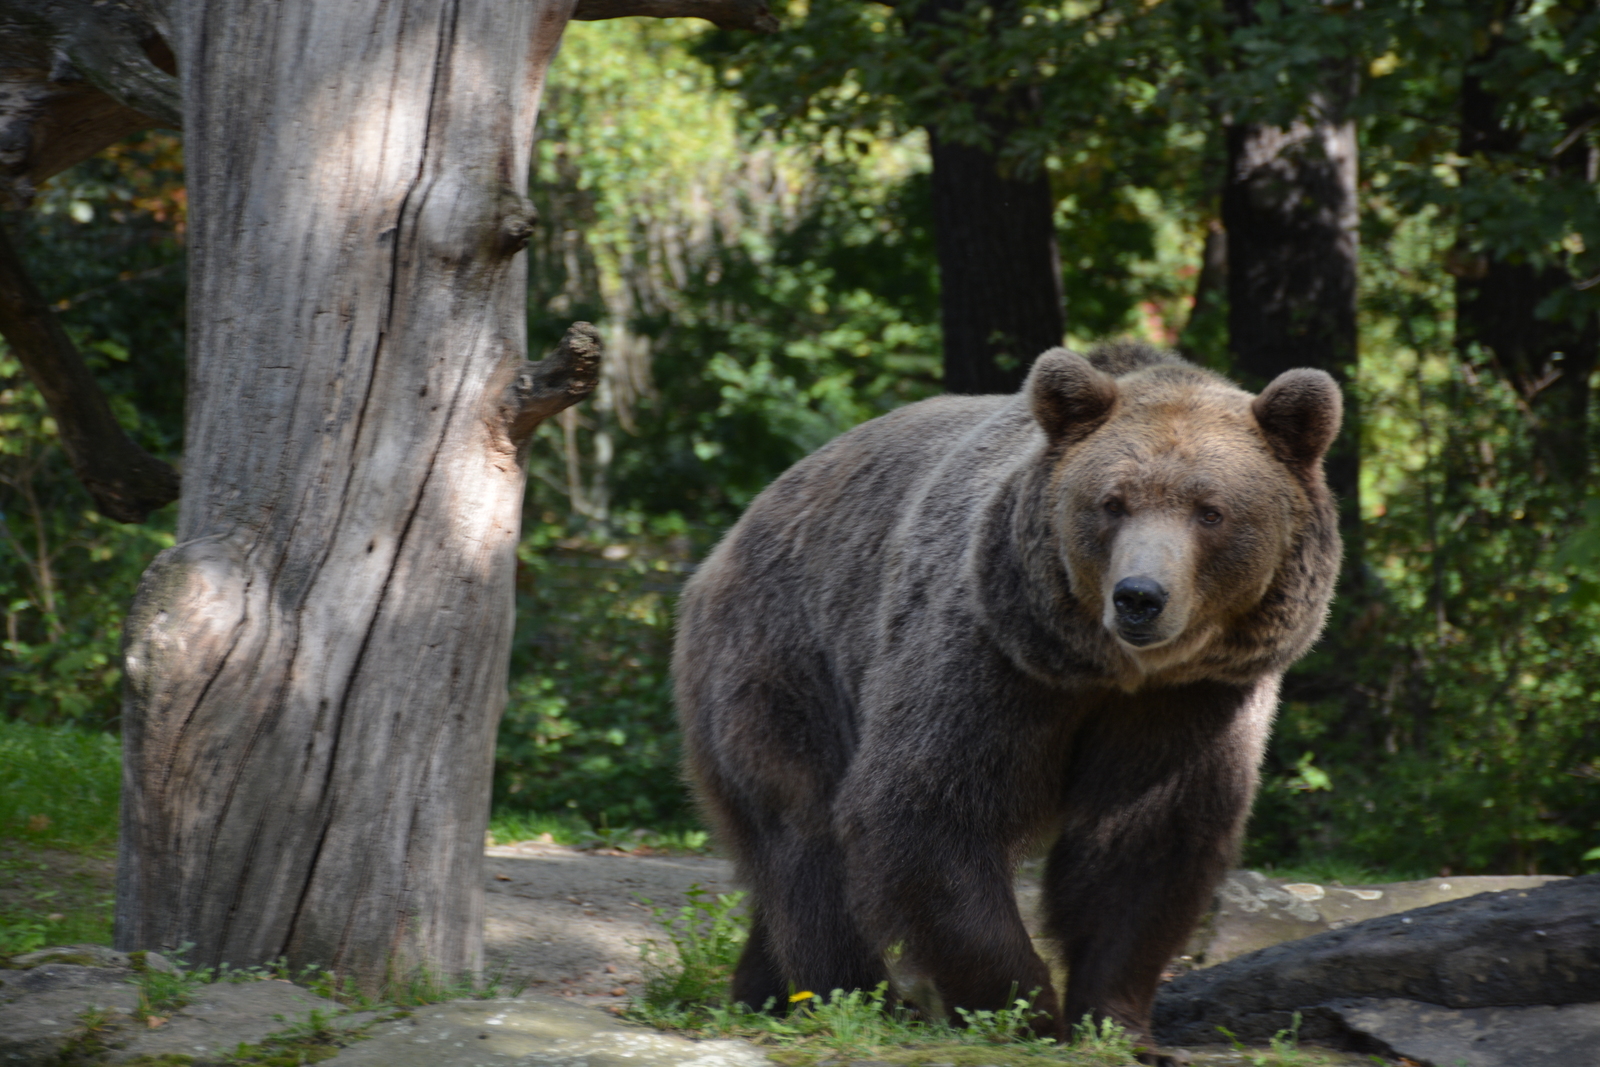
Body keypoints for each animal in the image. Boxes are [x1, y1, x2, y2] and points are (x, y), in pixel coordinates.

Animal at [672, 343, 1337, 1049]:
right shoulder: (993, 659)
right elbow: (928, 811)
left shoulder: (1192, 701)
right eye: (1113, 503)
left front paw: (1118, 1021)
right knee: (806, 836)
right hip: (785, 658)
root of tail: (732, 535)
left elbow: (1145, 843)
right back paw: (854, 996)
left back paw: (762, 992)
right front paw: (1026, 1010)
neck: (1111, 671)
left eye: (1210, 510)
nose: (1139, 596)